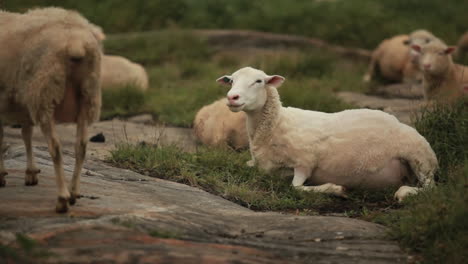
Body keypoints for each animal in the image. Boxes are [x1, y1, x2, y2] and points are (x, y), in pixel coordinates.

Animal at [0, 8, 102, 213]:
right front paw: (31, 173)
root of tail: (75, 42)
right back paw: (74, 192)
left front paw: (1, 175)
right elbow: (26, 134)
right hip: (87, 97)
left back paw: (62, 199)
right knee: (81, 146)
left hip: (45, 94)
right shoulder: (24, 104)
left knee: (55, 147)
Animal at [219, 67, 438, 201]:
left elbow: (295, 187)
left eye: (259, 81)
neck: (277, 125)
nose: (232, 97)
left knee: (430, 187)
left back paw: (404, 192)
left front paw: (337, 189)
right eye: (231, 81)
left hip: (420, 158)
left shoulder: (305, 162)